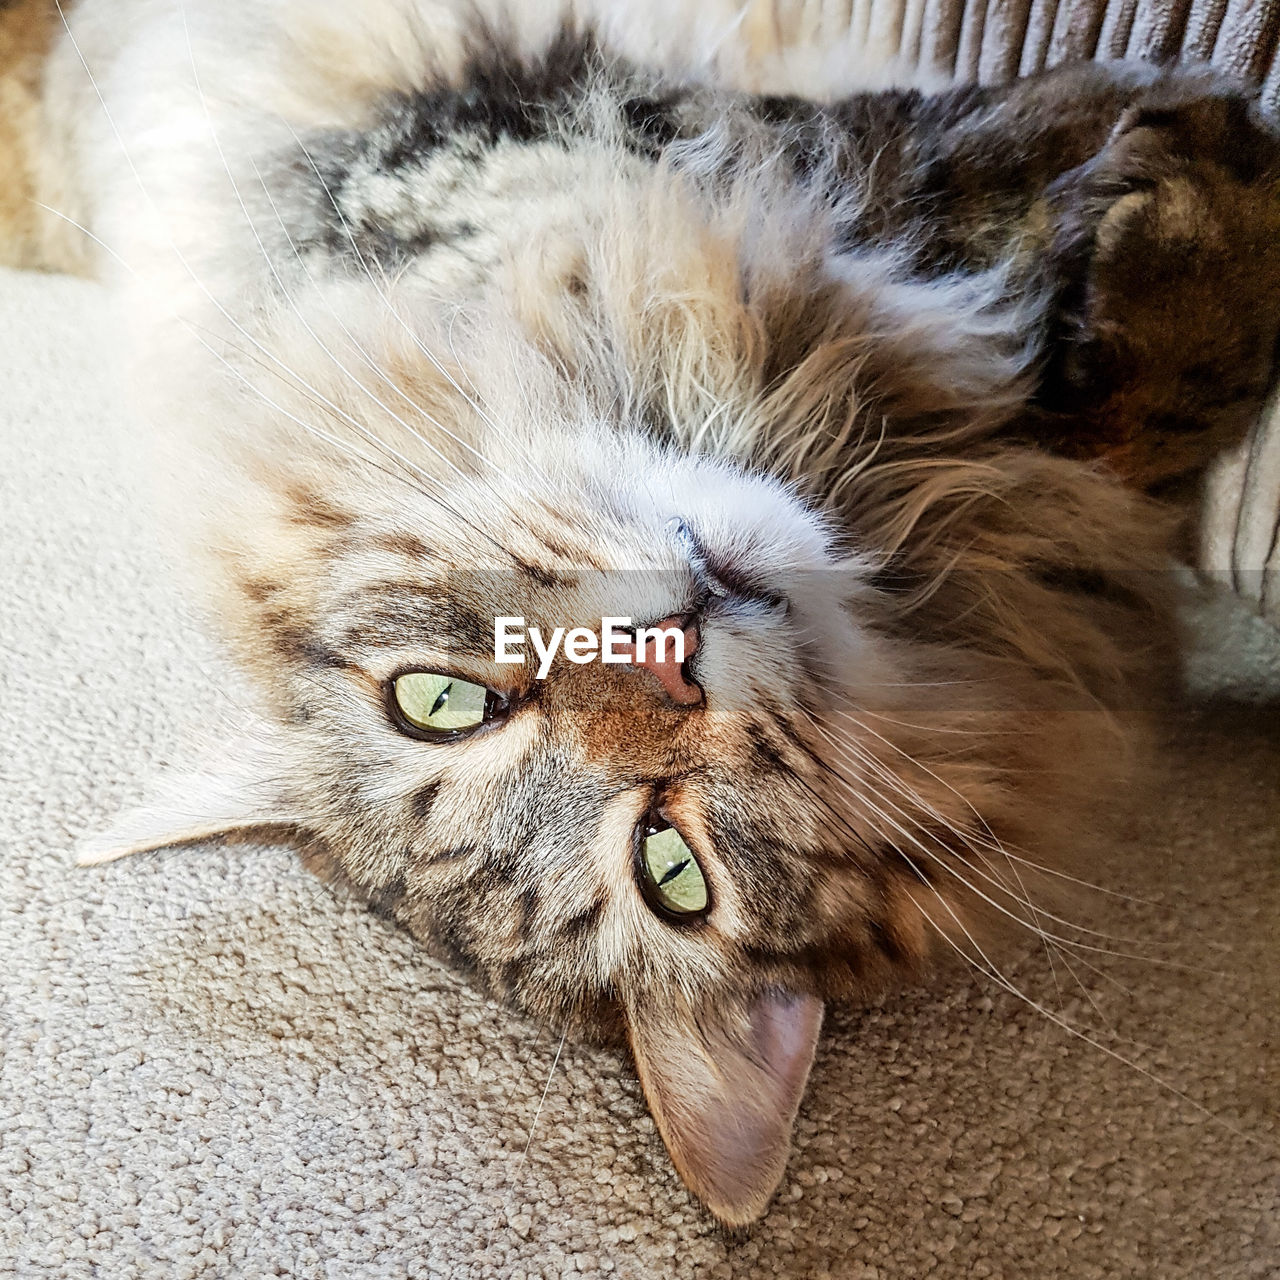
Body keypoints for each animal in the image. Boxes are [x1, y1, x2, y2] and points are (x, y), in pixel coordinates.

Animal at [10, 0, 1280, 1223]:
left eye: (438, 702)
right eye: (671, 866)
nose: (669, 651)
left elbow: (1012, 254)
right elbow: (973, 203)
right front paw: (1210, 175)